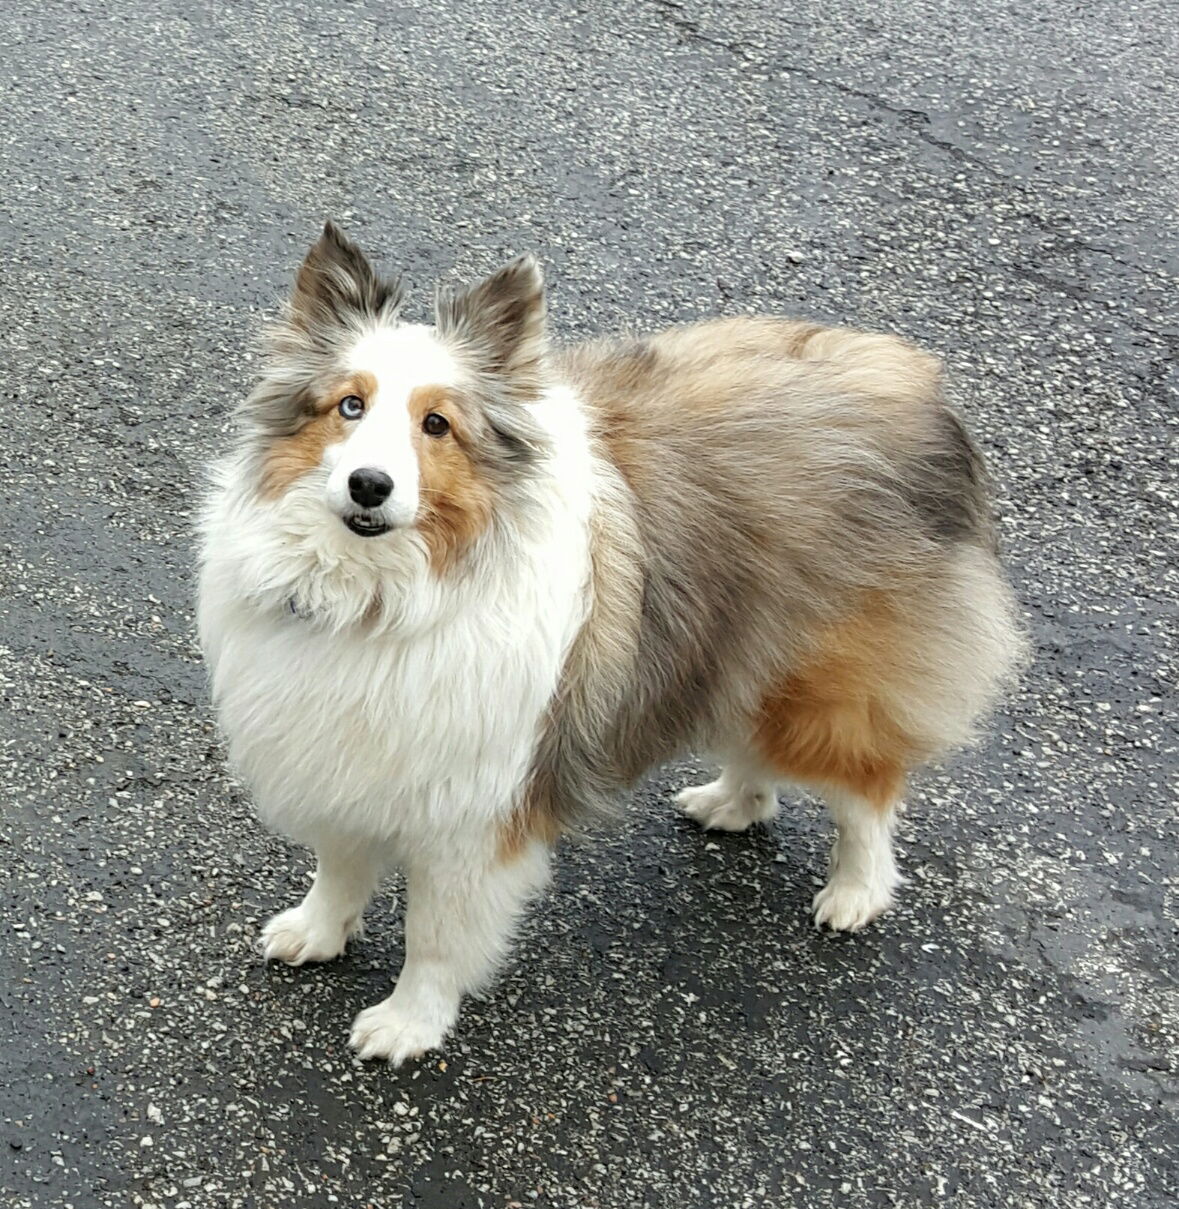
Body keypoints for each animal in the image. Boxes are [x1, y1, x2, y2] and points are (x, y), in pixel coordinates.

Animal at [195, 222, 1025, 1063]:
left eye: (436, 424)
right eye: (349, 405)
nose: (370, 485)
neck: (382, 596)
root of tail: (915, 379)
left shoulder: (475, 814)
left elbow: (434, 933)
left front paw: (409, 1022)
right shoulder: (340, 757)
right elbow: (337, 865)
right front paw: (317, 931)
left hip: (823, 683)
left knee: (866, 789)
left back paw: (854, 890)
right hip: (732, 649)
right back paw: (731, 802)